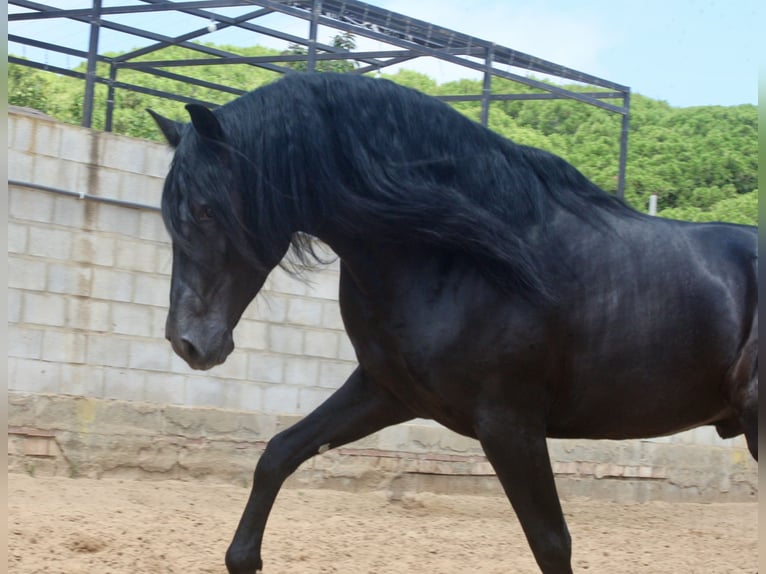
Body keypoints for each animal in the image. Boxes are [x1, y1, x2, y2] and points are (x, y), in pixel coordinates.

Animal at [147, 73, 760, 574]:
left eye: (205, 209)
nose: (189, 342)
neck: (460, 255)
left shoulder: (509, 424)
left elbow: (552, 543)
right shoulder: (388, 393)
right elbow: (278, 453)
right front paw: (244, 557)